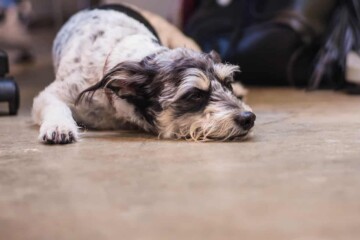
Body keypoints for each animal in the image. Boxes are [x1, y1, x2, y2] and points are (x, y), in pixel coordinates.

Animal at [31, 3, 256, 143]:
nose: (249, 118)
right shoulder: (52, 94)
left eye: (227, 83)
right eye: (194, 95)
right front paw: (59, 128)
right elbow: (56, 106)